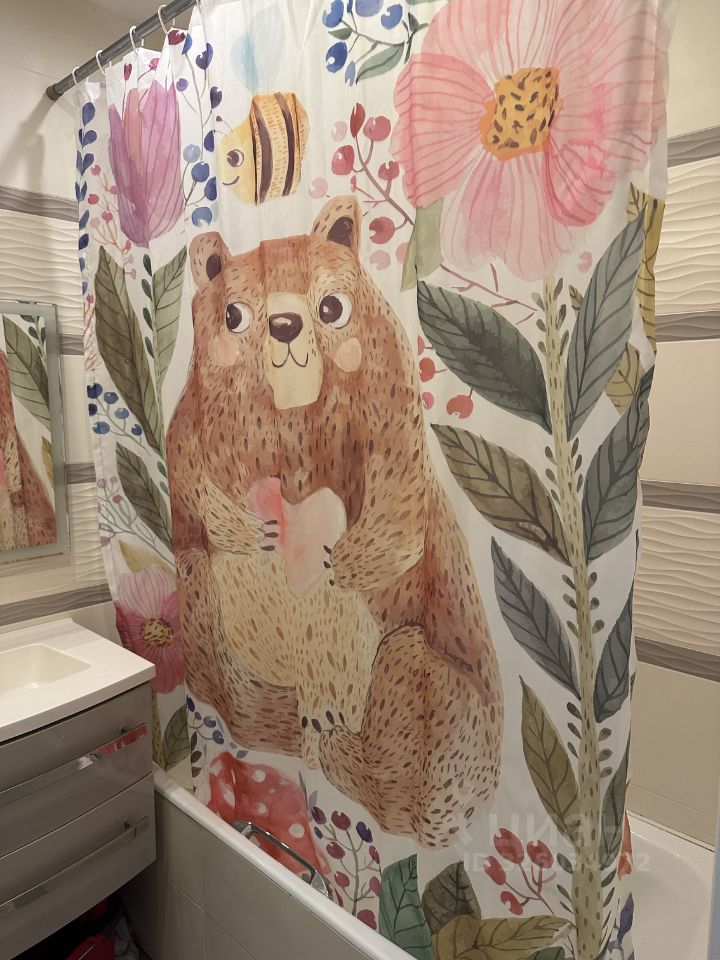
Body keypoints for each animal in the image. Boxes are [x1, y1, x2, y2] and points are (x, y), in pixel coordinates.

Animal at [166, 196, 503, 847]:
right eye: (234, 314)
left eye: (332, 306)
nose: (285, 326)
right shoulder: (199, 405)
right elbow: (186, 463)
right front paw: (249, 530)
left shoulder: (384, 389)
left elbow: (398, 493)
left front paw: (339, 560)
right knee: (197, 583)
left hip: (447, 709)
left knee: (409, 686)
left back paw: (333, 740)